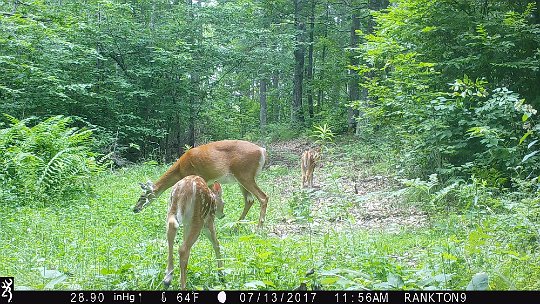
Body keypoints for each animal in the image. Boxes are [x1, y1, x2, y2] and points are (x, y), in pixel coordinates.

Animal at [133, 139, 268, 227]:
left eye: (142, 196)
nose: (135, 209)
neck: (180, 169)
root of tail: (262, 150)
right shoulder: (209, 181)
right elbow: (216, 198)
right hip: (240, 178)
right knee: (249, 200)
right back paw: (236, 226)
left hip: (245, 174)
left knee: (263, 197)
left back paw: (259, 227)